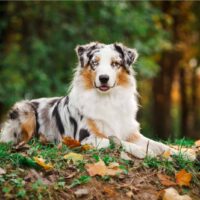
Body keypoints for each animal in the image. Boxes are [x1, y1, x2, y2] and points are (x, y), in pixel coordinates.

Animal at [0, 42, 194, 159]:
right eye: (94, 63)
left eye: (115, 63)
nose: (103, 78)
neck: (108, 99)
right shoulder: (87, 138)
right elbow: (117, 141)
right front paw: (143, 152)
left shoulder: (131, 132)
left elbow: (159, 145)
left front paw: (185, 154)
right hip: (25, 111)